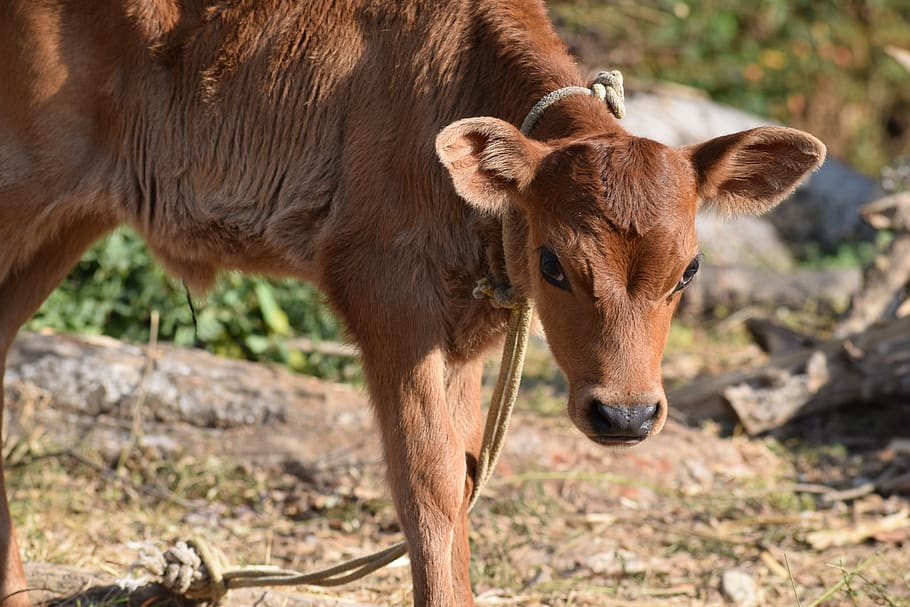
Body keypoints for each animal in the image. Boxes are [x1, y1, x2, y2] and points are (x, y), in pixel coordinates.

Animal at [0, 0, 825, 605]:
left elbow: (464, 475)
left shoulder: (464, 330)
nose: (624, 414)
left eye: (689, 270)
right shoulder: (386, 291)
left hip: (65, 223)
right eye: (554, 263)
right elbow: (427, 485)